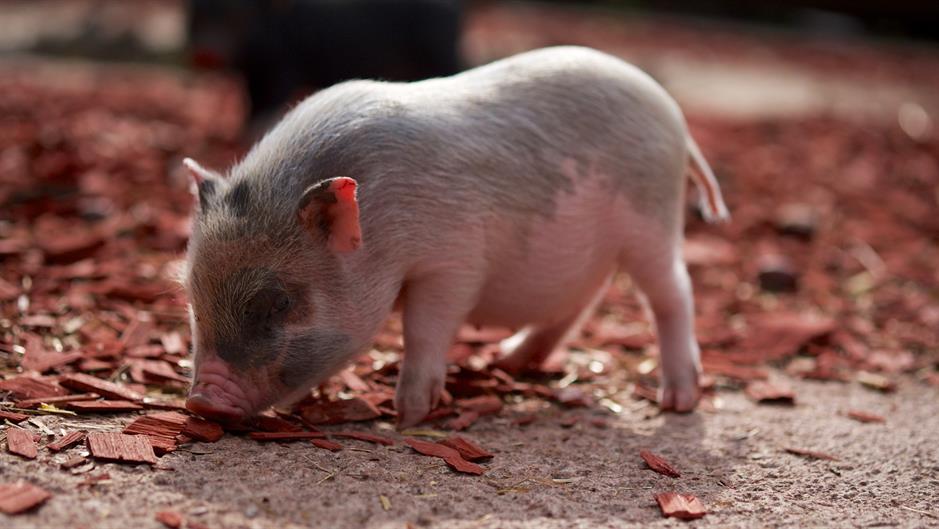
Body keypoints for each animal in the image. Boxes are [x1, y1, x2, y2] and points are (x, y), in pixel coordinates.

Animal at [182, 46, 729, 428]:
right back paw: (506, 359)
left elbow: (426, 328)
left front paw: (408, 415)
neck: (381, 220)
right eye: (193, 299)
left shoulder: (452, 261)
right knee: (582, 301)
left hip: (651, 221)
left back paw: (678, 400)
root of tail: (676, 117)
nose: (202, 401)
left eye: (279, 303)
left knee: (674, 292)